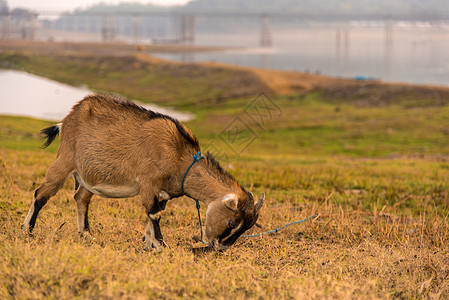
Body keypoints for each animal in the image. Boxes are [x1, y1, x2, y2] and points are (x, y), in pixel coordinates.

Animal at [21, 94, 262, 251]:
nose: (220, 248)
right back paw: (27, 230)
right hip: (64, 160)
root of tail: (66, 120)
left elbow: (153, 214)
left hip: (89, 177)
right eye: (231, 223)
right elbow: (154, 214)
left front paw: (149, 245)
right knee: (41, 194)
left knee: (81, 198)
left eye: (247, 227)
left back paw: (86, 234)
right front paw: (161, 245)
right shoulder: (148, 182)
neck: (179, 155)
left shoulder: (162, 193)